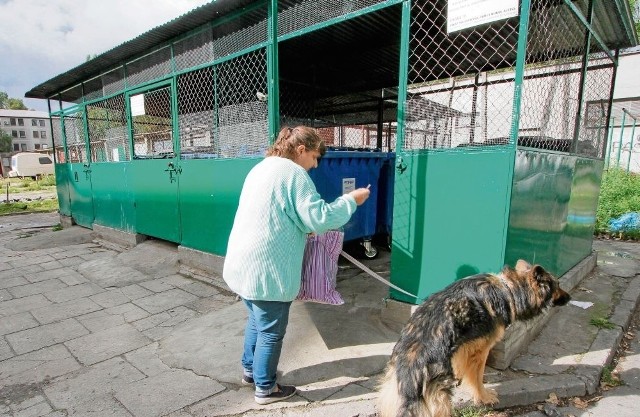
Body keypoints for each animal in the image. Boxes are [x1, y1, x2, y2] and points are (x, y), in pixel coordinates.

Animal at [376, 258, 568, 414]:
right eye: (558, 284)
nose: (569, 296)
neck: (508, 289)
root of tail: (412, 357)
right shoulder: (479, 349)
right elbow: (477, 377)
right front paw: (483, 396)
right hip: (440, 397)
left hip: (392, 392)